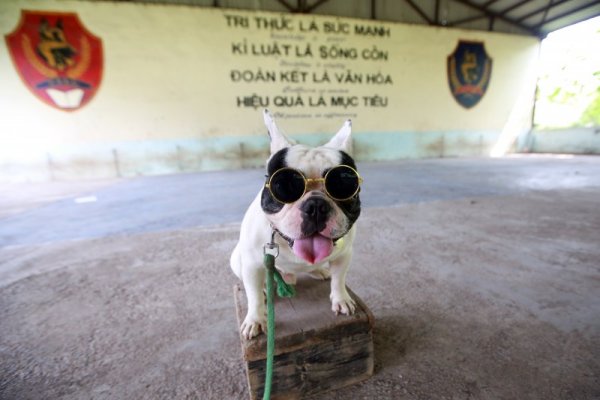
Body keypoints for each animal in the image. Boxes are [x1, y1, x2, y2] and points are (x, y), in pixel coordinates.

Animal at [230, 110, 360, 340]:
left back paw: (319, 271)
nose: (316, 205)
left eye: (344, 186)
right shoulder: (252, 264)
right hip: (237, 260)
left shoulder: (345, 255)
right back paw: (266, 288)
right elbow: (253, 295)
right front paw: (255, 319)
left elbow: (339, 279)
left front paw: (341, 299)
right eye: (283, 186)